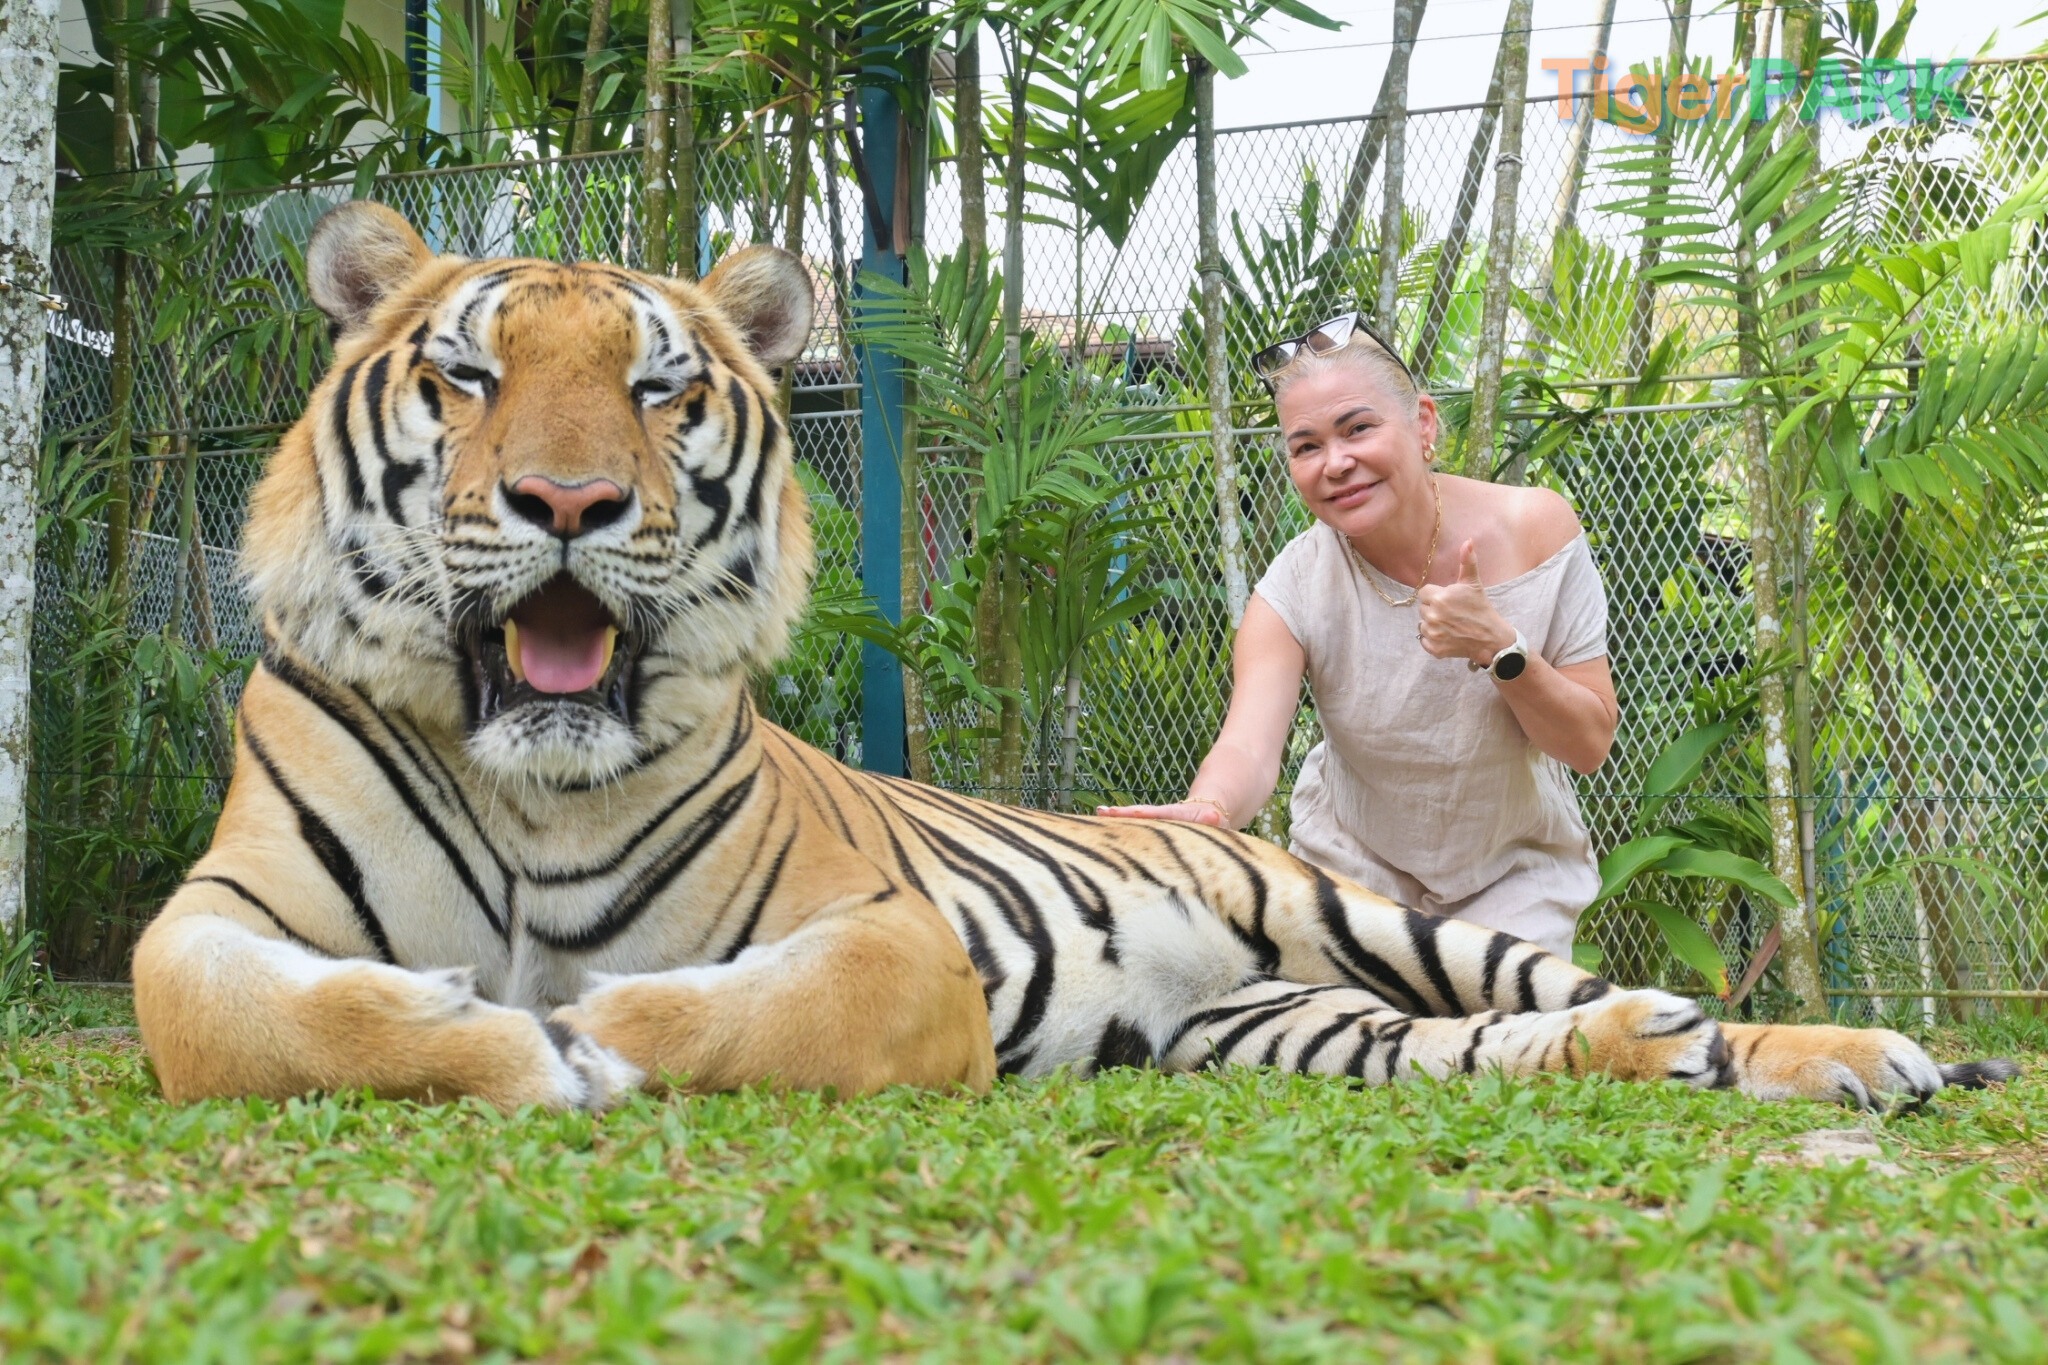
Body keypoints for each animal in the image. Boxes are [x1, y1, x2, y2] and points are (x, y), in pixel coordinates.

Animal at [132, 201, 2017, 1114]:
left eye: (661, 391)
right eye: (466, 377)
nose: (573, 501)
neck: (533, 780)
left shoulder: (884, 933)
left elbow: (737, 1003)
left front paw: (583, 1026)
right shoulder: (215, 918)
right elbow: (243, 1015)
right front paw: (493, 1030)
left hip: (1391, 925)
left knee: (1618, 1003)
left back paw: (1859, 1056)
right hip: (1298, 1029)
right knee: (1520, 1049)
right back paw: (1678, 1049)